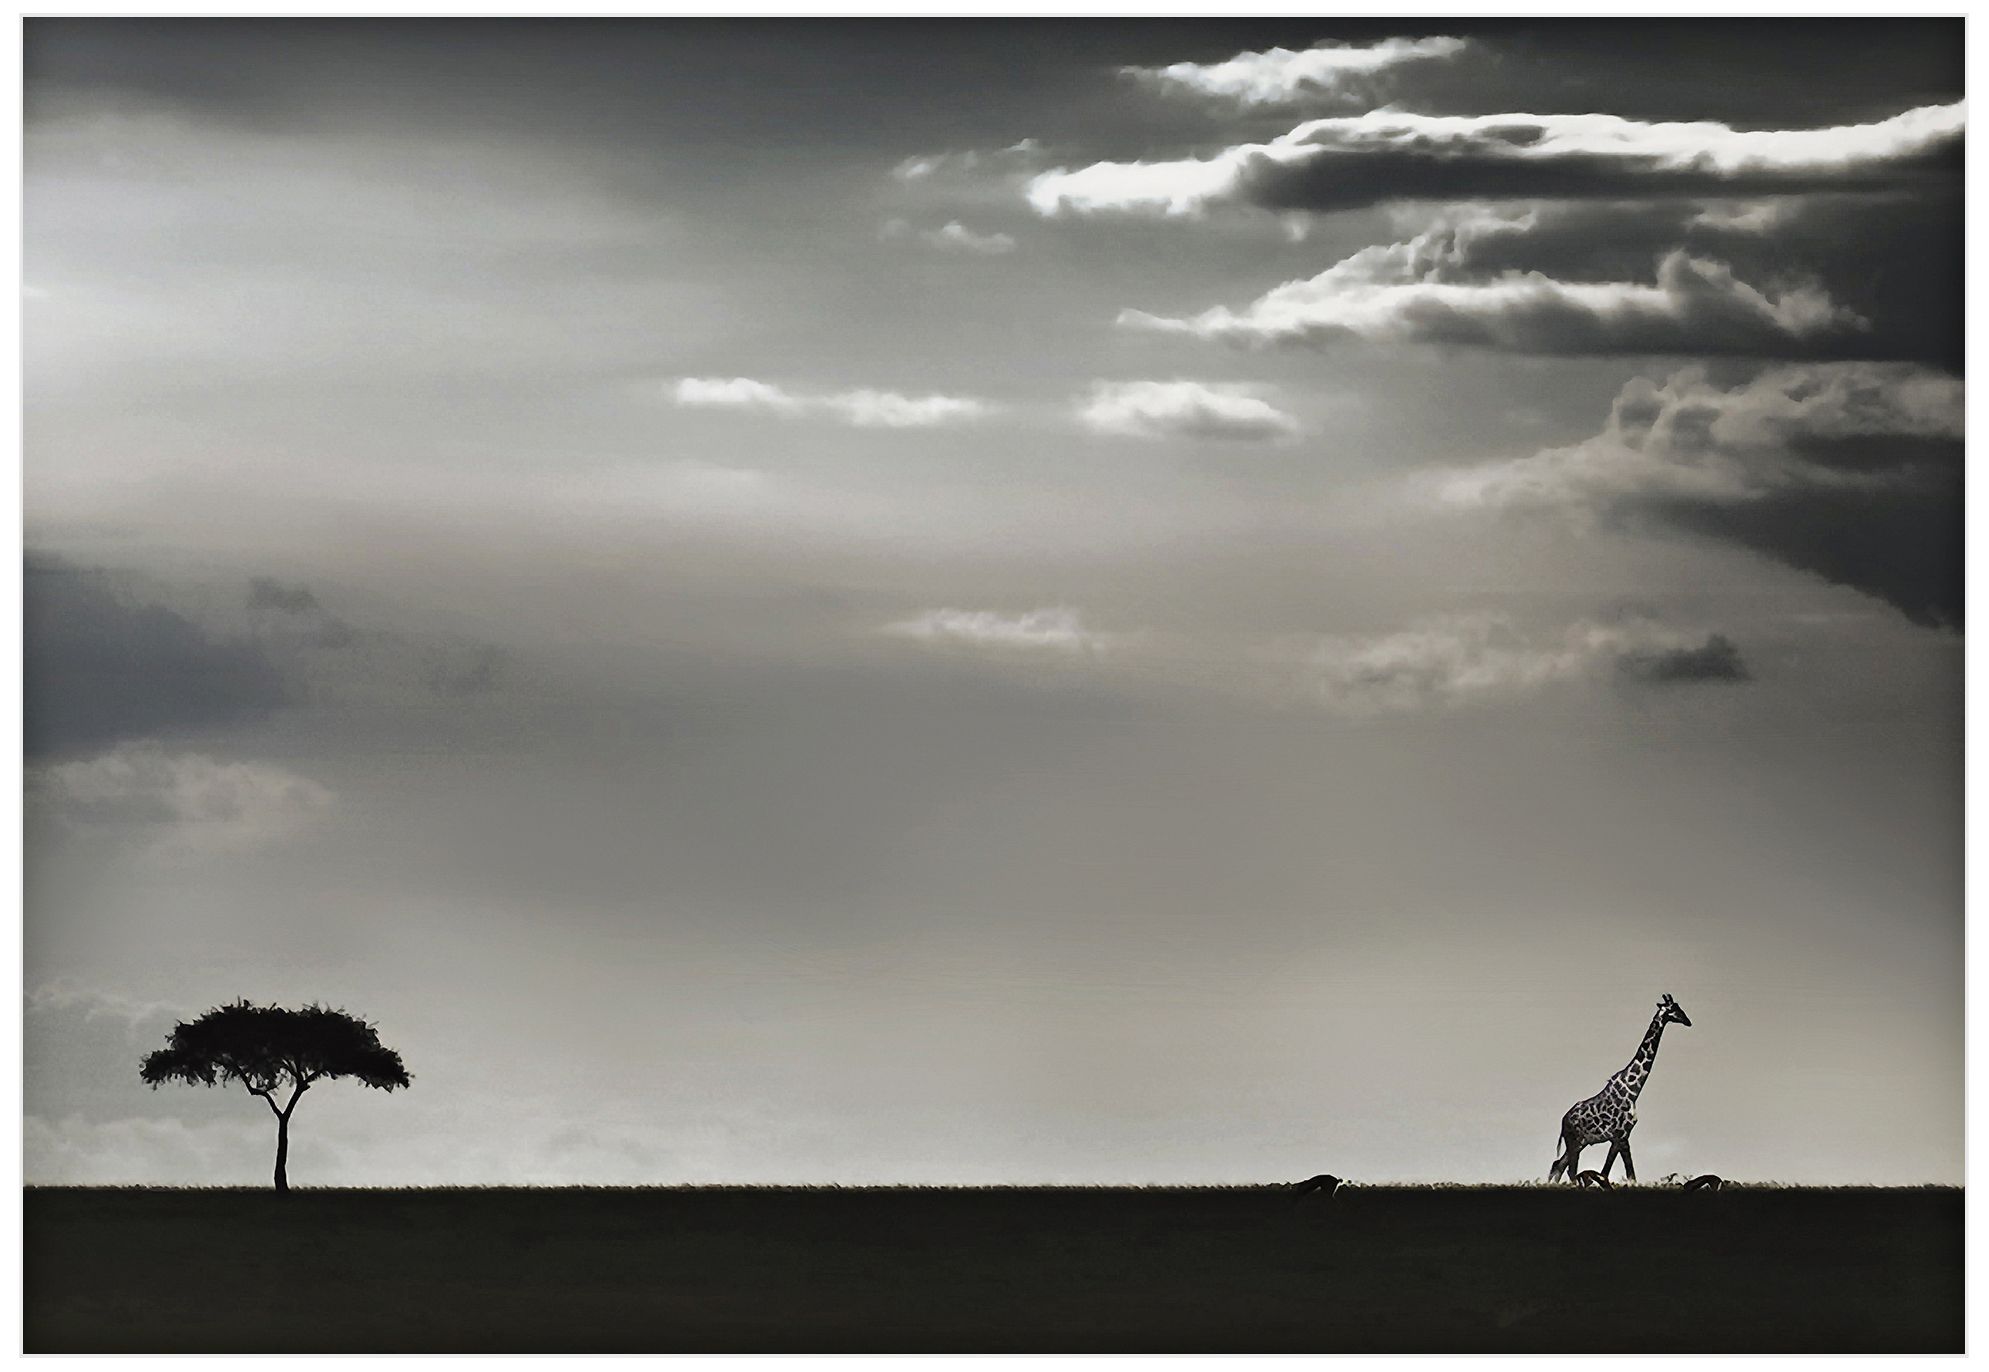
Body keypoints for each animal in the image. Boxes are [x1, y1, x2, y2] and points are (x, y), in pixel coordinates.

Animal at [1548, 993, 1692, 1184]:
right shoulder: (1620, 1136)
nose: (1688, 1021)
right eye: (1674, 1009)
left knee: (1559, 1165)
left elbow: (1618, 1174)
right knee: (1569, 1169)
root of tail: (1563, 1121)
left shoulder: (1623, 1137)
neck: (1632, 1091)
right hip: (1574, 1141)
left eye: (1679, 1007)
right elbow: (1620, 1174)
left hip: (1580, 1143)